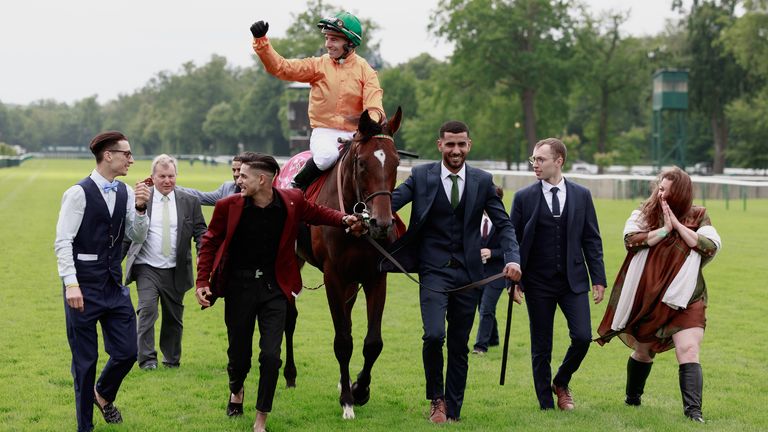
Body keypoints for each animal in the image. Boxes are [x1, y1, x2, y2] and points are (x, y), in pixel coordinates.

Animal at [280, 107, 404, 418]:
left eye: (396, 162)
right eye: (361, 163)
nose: (381, 224)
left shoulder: (376, 277)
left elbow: (372, 342)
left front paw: (359, 388)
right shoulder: (333, 276)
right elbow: (343, 341)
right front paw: (348, 400)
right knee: (290, 317)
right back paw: (290, 375)